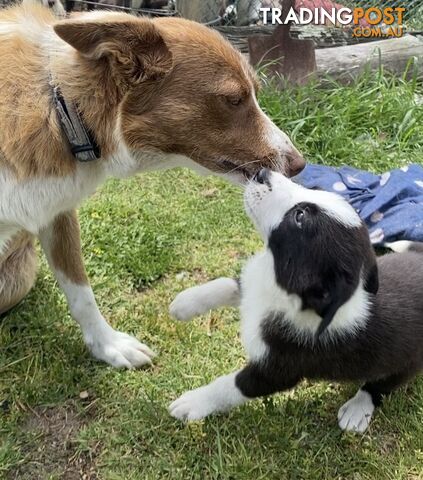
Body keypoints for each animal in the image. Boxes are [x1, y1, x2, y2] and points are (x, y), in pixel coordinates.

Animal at [0, 3, 304, 368]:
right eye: (233, 99)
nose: (299, 164)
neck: (63, 109)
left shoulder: (58, 213)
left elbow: (81, 293)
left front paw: (109, 346)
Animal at [168, 168, 423, 432]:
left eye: (299, 217)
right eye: (317, 190)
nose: (262, 173)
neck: (279, 287)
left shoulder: (278, 369)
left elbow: (231, 387)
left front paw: (193, 403)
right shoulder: (254, 286)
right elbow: (229, 285)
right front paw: (184, 303)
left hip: (406, 360)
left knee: (381, 385)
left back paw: (357, 409)